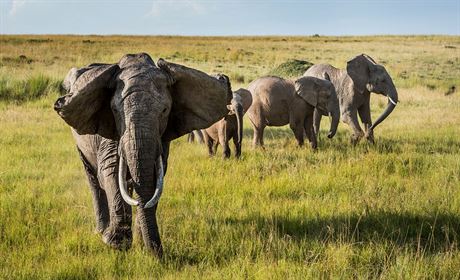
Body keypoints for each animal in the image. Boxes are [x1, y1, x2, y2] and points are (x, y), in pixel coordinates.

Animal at [54, 52, 232, 256]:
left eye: (165, 111)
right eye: (115, 111)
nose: (160, 255)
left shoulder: (161, 137)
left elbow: (155, 179)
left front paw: (141, 246)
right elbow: (111, 173)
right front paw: (116, 244)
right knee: (93, 179)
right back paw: (100, 231)